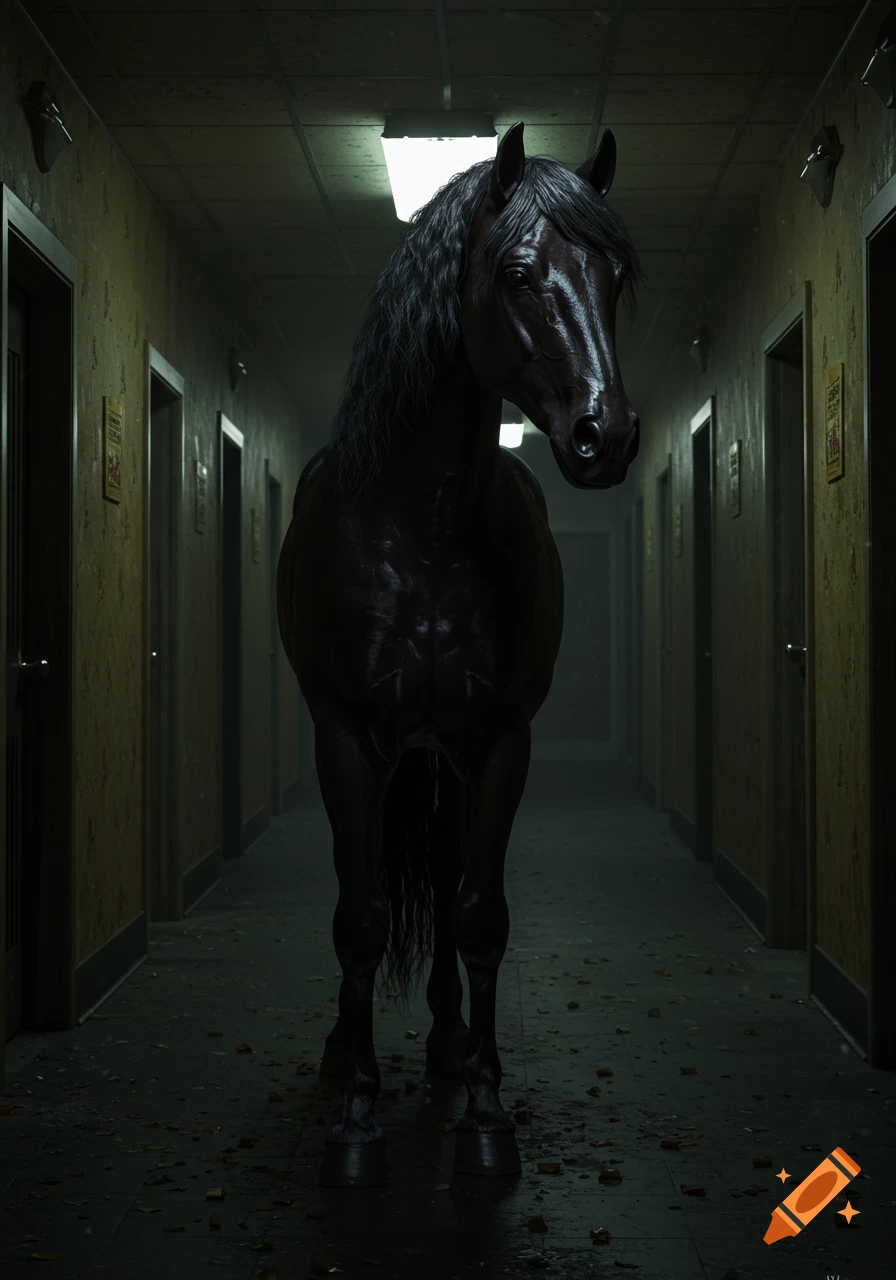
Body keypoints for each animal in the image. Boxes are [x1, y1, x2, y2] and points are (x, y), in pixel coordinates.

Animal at [277, 120, 641, 1188]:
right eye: (519, 272)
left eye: (616, 277)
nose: (606, 435)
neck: (425, 527)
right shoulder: (348, 738)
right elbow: (359, 917)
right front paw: (355, 1120)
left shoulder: (499, 740)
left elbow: (479, 915)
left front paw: (485, 1114)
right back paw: (344, 1052)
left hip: (444, 753)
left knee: (440, 882)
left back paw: (442, 1046)